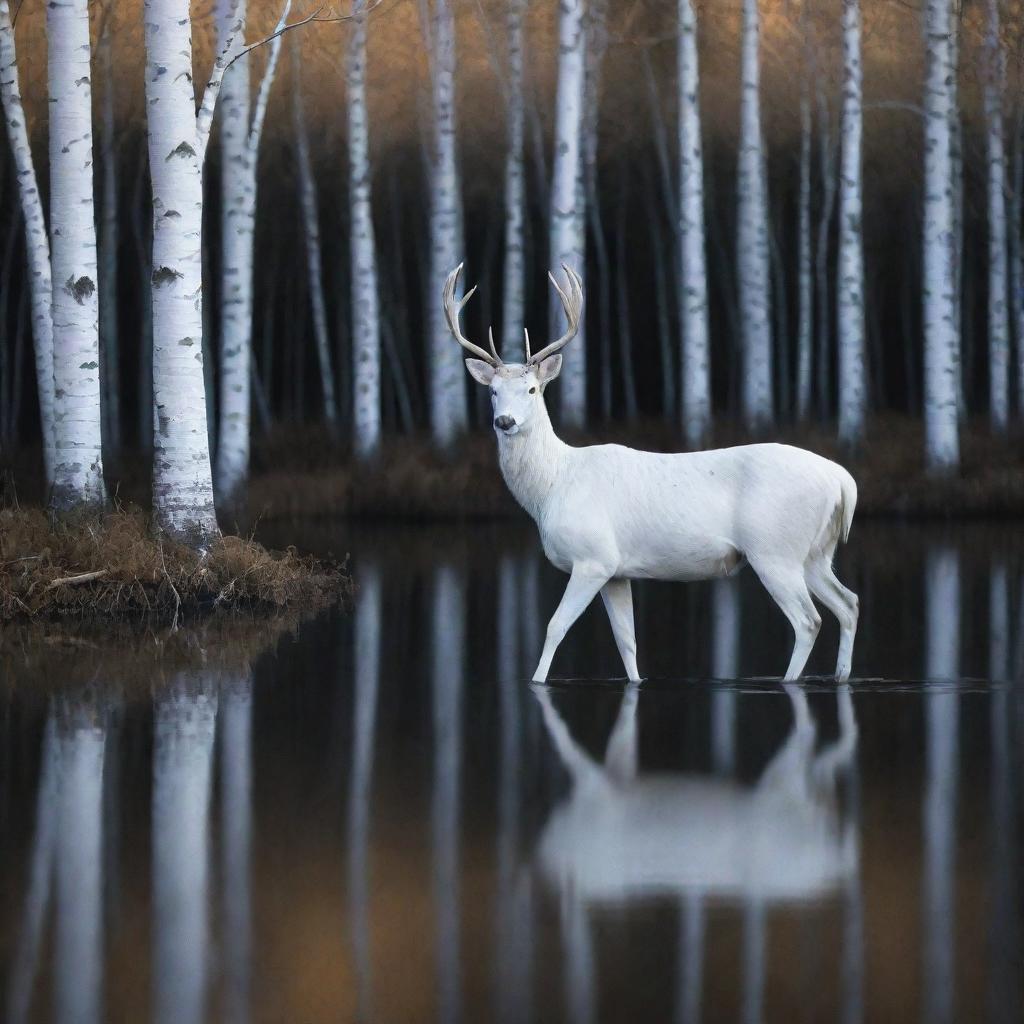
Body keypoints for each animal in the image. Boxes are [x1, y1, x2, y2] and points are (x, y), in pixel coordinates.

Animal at [444, 264, 860, 684]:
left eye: (531, 389)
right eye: (493, 391)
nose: (505, 421)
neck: (552, 489)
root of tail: (843, 480)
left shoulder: (593, 557)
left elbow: (555, 627)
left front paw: (536, 681)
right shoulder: (617, 571)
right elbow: (627, 642)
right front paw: (636, 680)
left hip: (775, 548)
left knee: (808, 620)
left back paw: (790, 679)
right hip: (815, 551)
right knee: (849, 603)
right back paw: (841, 675)